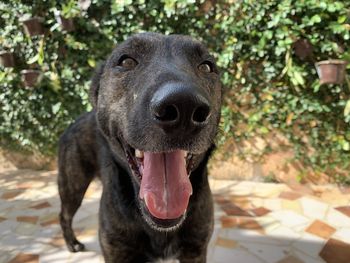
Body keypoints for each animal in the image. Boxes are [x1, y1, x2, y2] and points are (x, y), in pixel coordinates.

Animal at [57, 32, 221, 262]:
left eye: (207, 66)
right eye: (126, 61)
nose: (184, 106)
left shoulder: (195, 250)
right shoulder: (117, 251)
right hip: (73, 185)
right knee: (64, 215)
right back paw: (71, 243)